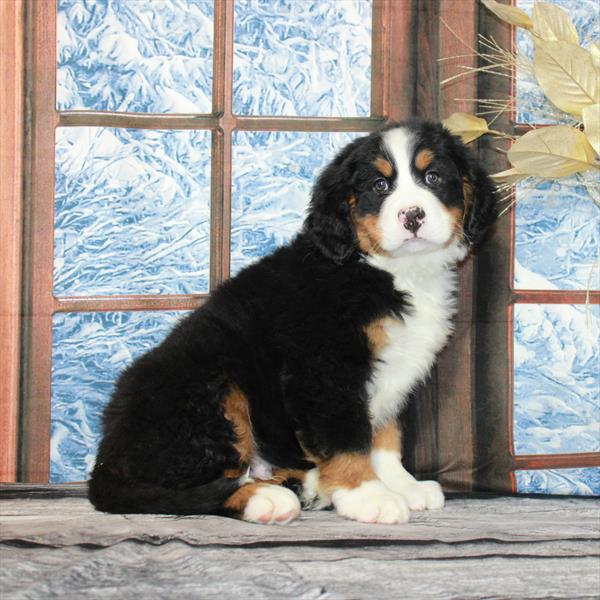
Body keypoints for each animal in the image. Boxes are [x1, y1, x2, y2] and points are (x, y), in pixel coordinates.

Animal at [88, 119, 492, 524]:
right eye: (380, 186)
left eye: (433, 177)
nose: (412, 215)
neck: (386, 269)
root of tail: (104, 462)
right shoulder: (325, 370)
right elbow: (348, 437)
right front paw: (368, 495)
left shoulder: (390, 372)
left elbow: (385, 436)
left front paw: (402, 485)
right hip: (211, 386)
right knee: (192, 487)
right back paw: (266, 499)